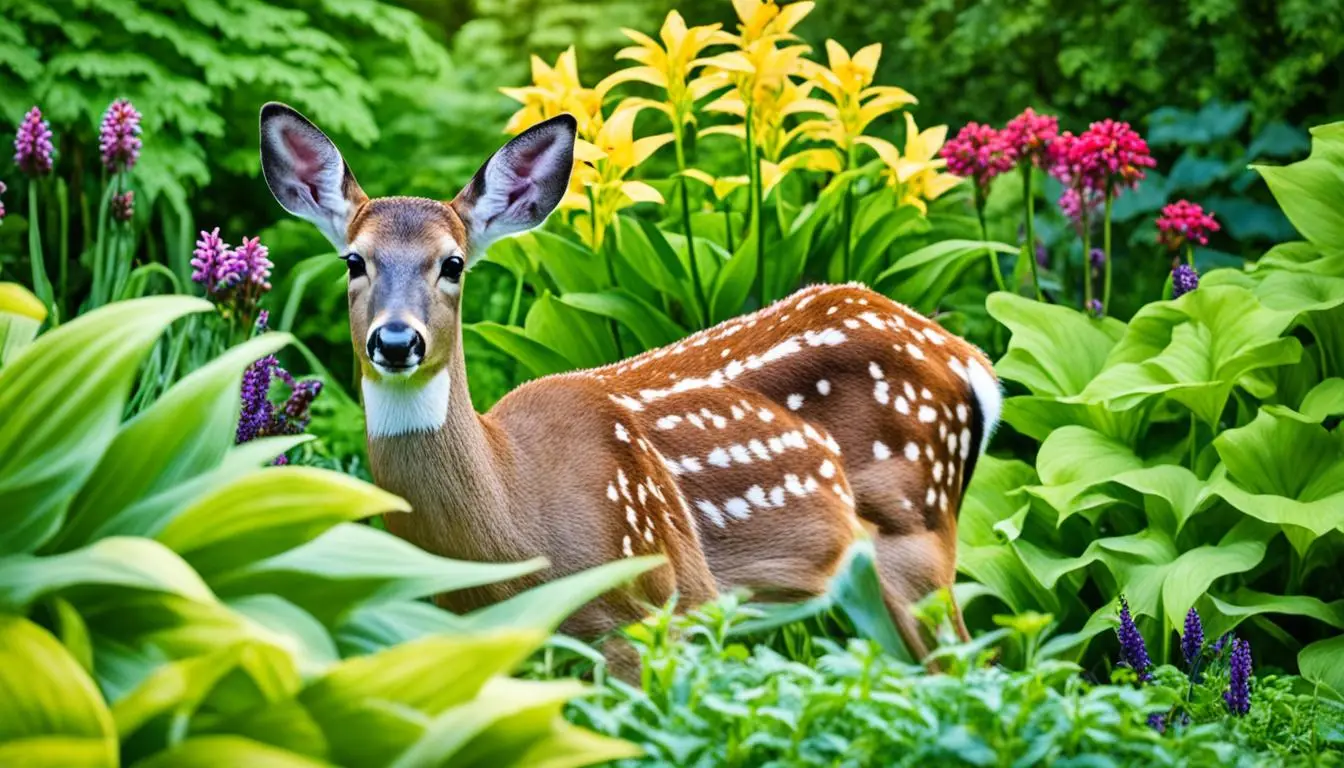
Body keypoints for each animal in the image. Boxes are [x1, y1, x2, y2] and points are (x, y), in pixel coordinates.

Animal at [259, 100, 999, 672]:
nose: (395, 341)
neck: (514, 516)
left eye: (454, 264)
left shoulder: (658, 604)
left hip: (917, 531)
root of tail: (969, 360)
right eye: (354, 260)